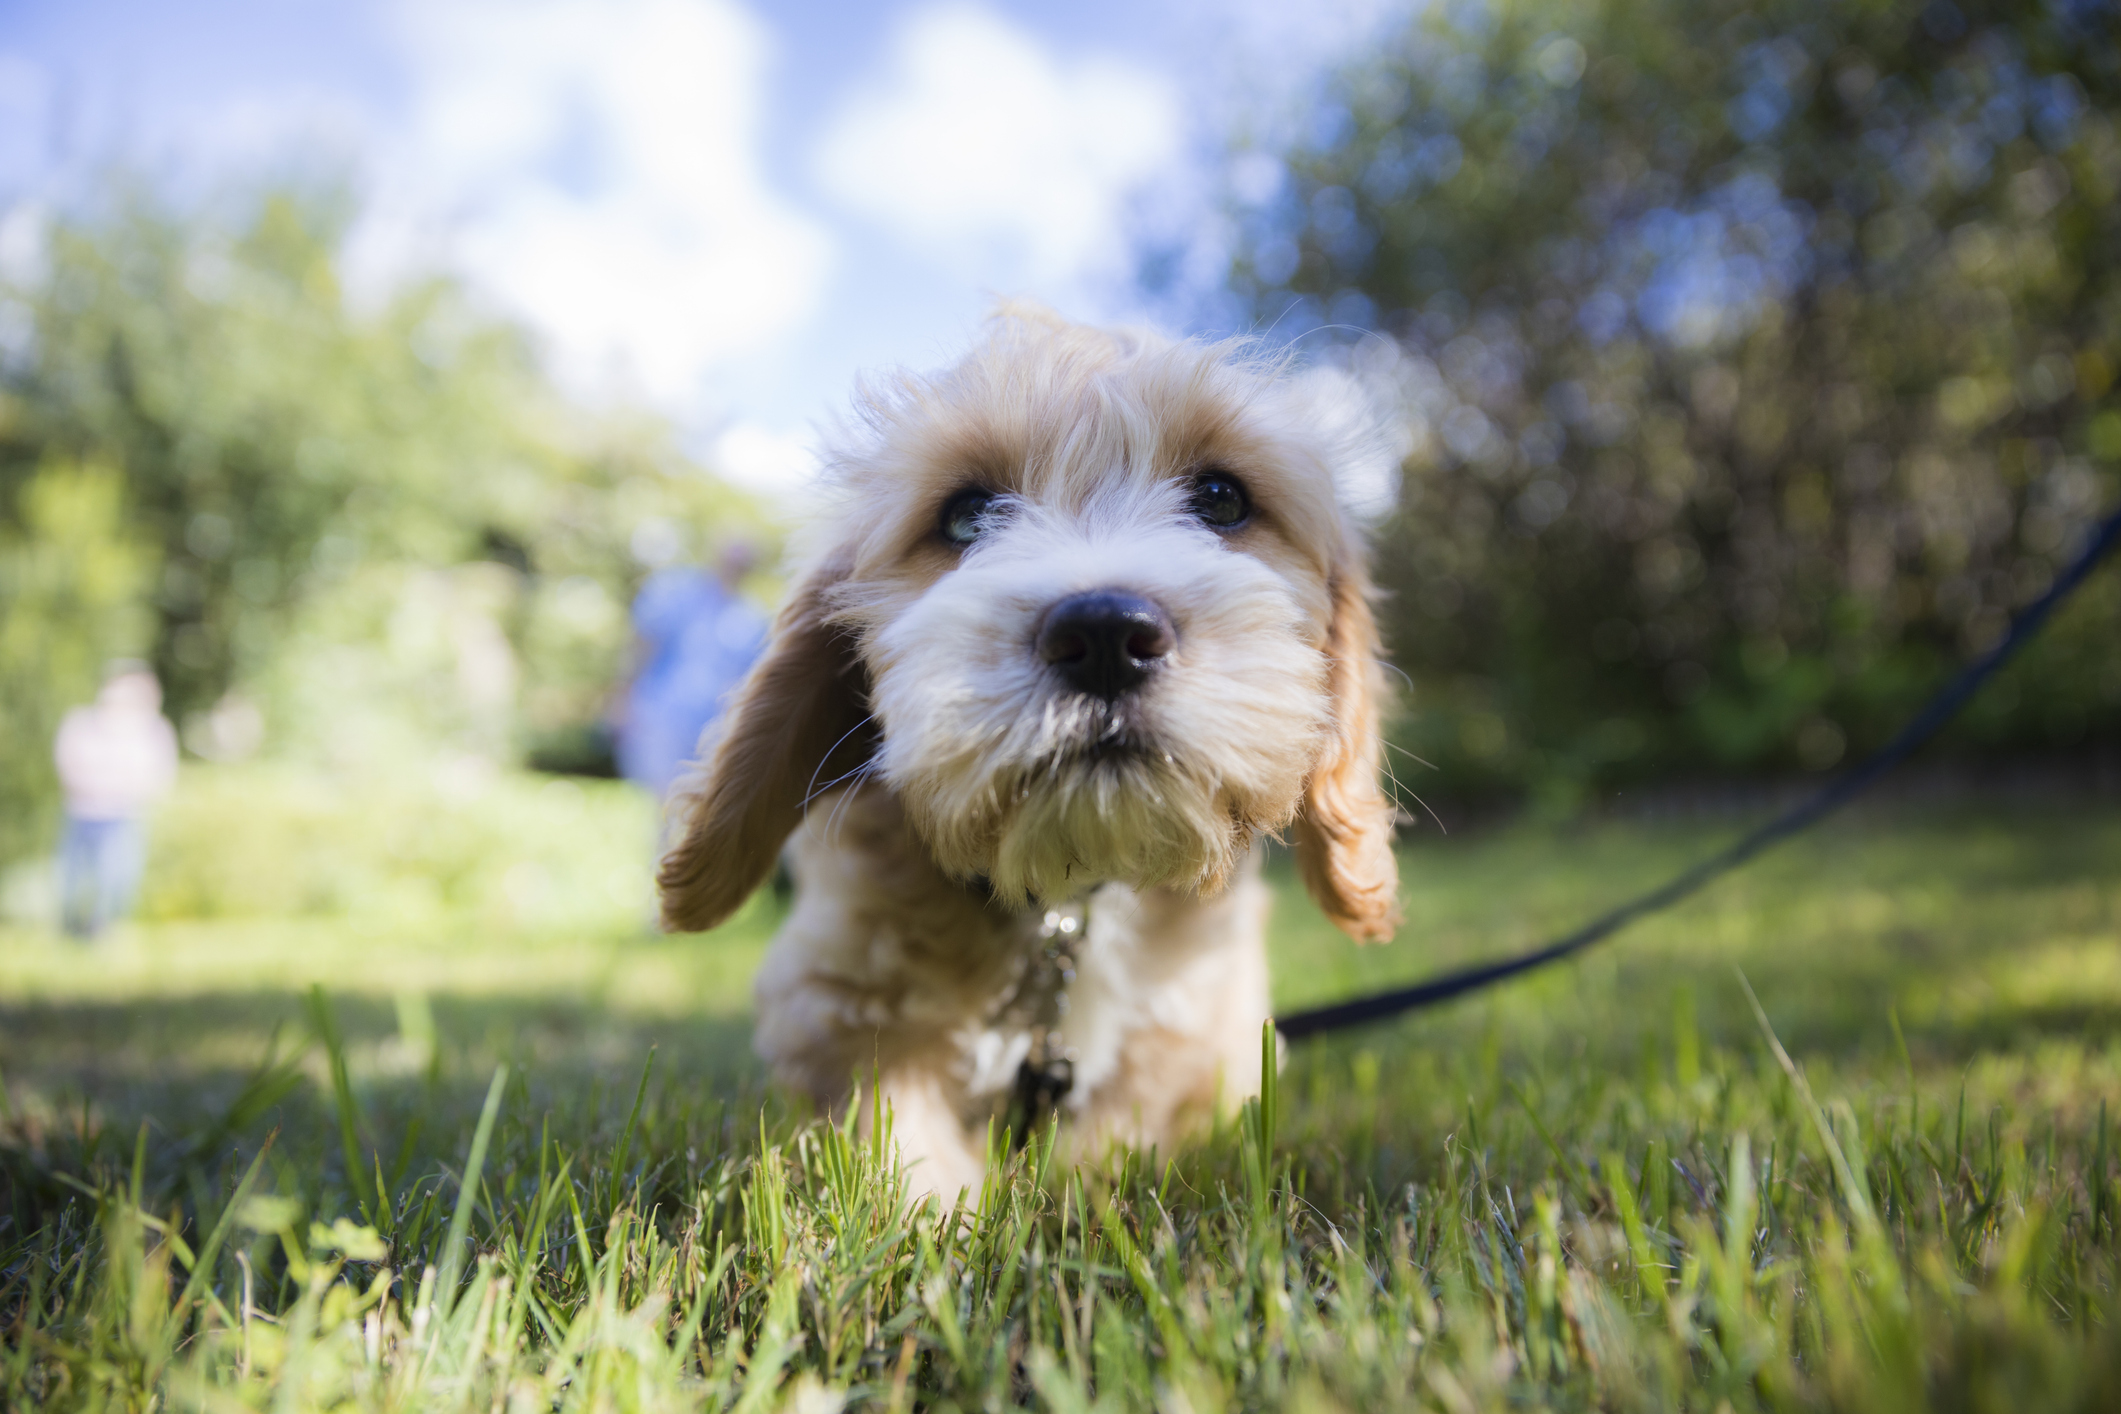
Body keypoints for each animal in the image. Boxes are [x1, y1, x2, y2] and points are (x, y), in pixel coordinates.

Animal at [653, 311, 1399, 1204]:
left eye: (1221, 498)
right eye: (967, 515)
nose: (1104, 634)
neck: (1066, 901)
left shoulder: (1207, 1034)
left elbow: (1124, 1136)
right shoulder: (831, 1000)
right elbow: (894, 1134)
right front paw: (941, 1215)